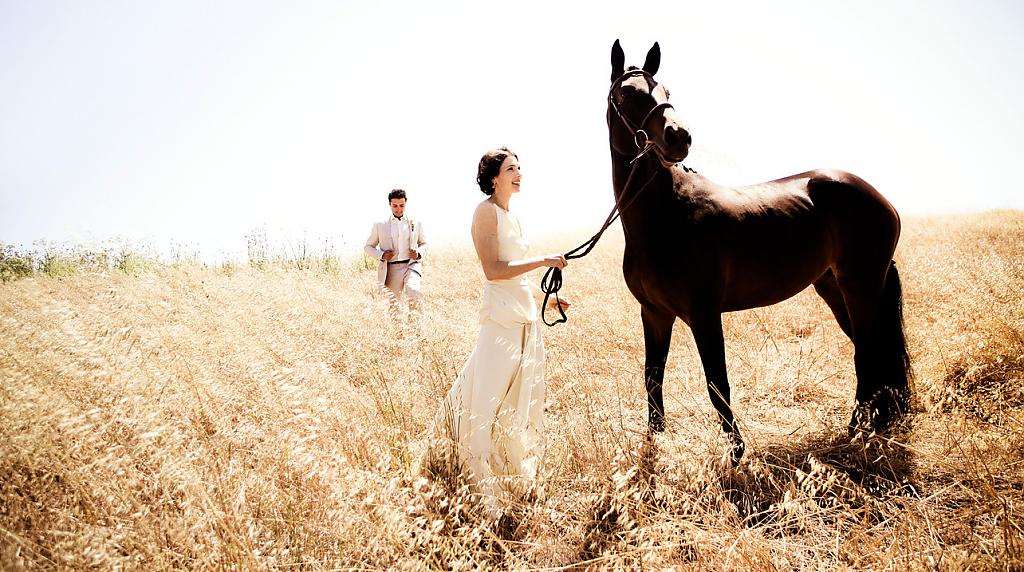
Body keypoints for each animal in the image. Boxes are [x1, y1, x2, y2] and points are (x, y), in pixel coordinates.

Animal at [606, 40, 913, 460]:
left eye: (667, 91)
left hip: (860, 287)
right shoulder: (654, 314)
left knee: (867, 353)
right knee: (873, 351)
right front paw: (656, 443)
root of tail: (881, 199)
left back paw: (853, 432)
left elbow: (717, 384)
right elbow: (653, 378)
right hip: (834, 287)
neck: (665, 215)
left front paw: (737, 454)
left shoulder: (703, 315)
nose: (678, 136)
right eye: (626, 94)